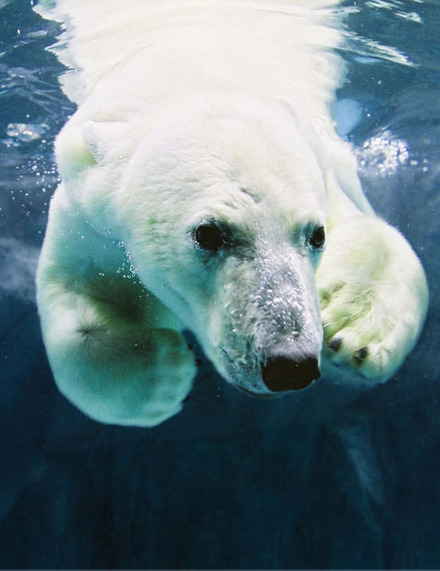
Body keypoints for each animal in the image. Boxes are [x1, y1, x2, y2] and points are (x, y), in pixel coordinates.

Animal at [36, 0, 428, 426]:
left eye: (317, 234)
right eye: (208, 233)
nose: (291, 364)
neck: (196, 75)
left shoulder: (324, 161)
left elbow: (374, 233)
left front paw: (355, 330)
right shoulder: (89, 216)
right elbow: (74, 290)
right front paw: (162, 373)